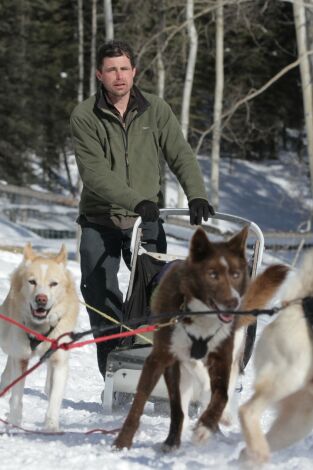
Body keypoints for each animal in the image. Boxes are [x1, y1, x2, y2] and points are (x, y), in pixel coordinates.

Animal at [0, 244, 78, 432]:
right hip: (7, 340)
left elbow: (55, 398)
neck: (40, 327)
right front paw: (14, 423)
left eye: (53, 284)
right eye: (32, 282)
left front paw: (51, 427)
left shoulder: (60, 361)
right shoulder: (21, 357)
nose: (41, 299)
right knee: (9, 363)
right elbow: (17, 396)